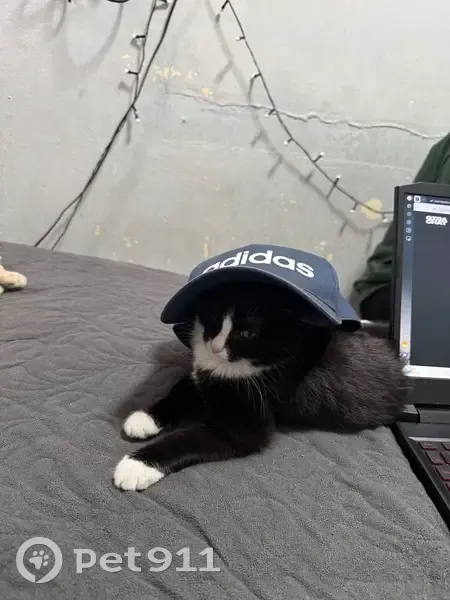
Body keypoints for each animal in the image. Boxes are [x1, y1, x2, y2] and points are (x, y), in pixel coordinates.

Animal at [113, 281, 411, 491]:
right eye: (214, 318)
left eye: (248, 333)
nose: (215, 347)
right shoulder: (205, 374)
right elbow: (182, 388)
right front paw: (144, 418)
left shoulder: (249, 415)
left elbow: (192, 437)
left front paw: (137, 466)